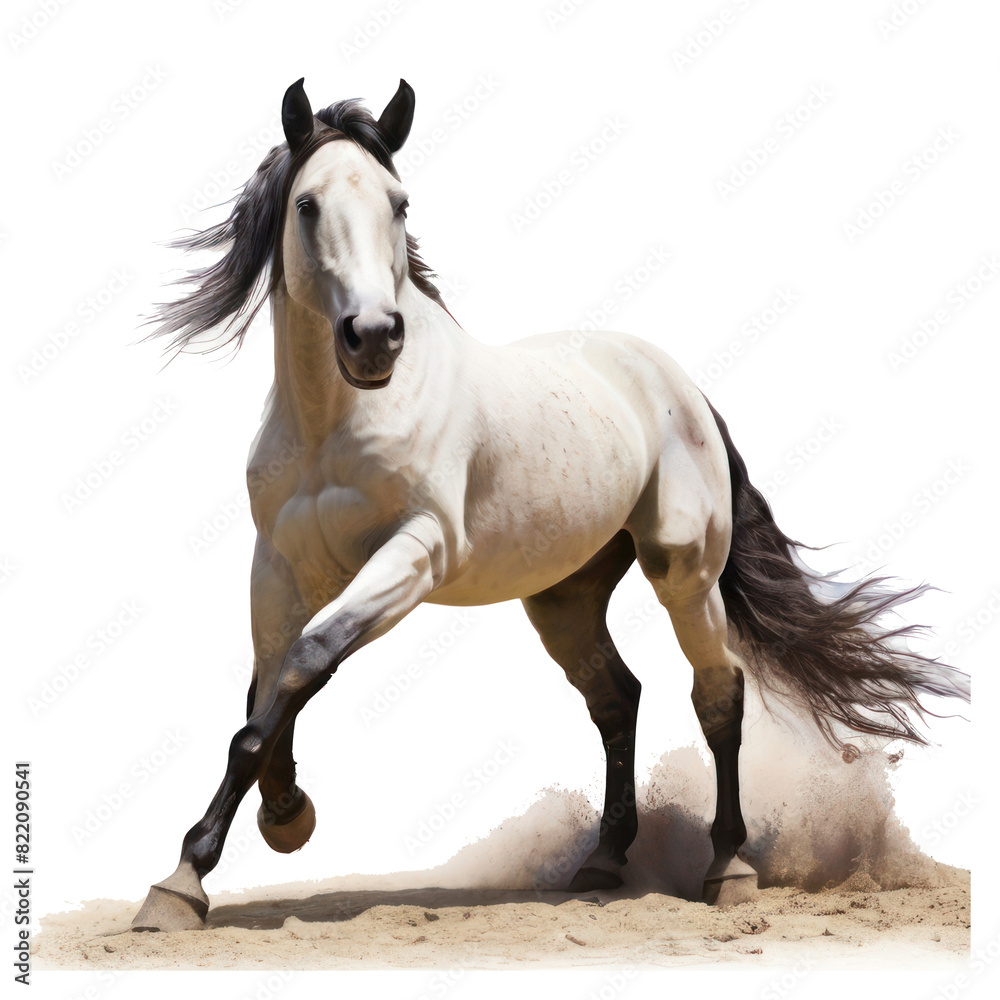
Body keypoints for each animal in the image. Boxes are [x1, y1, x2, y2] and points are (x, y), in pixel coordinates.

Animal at [131, 79, 970, 931]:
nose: (373, 338)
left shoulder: (413, 555)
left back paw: (726, 868)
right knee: (617, 697)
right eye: (307, 204)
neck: (335, 422)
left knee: (718, 692)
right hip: (565, 597)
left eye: (400, 203)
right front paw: (269, 824)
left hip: (683, 575)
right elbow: (265, 693)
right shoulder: (279, 567)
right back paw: (603, 860)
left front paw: (189, 877)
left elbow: (307, 662)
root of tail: (679, 385)